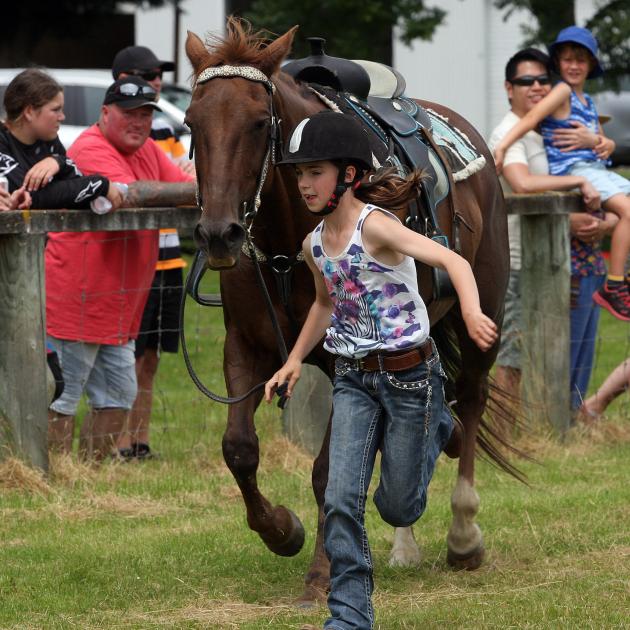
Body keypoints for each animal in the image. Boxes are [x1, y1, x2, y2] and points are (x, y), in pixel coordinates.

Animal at [185, 19, 516, 604]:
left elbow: (327, 471)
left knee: (471, 402)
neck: (286, 244)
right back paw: (405, 543)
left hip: (482, 318)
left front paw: (321, 573)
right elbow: (239, 449)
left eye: (258, 123)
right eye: (191, 123)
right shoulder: (244, 346)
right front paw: (282, 531)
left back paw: (463, 534)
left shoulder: (347, 359)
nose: (219, 233)